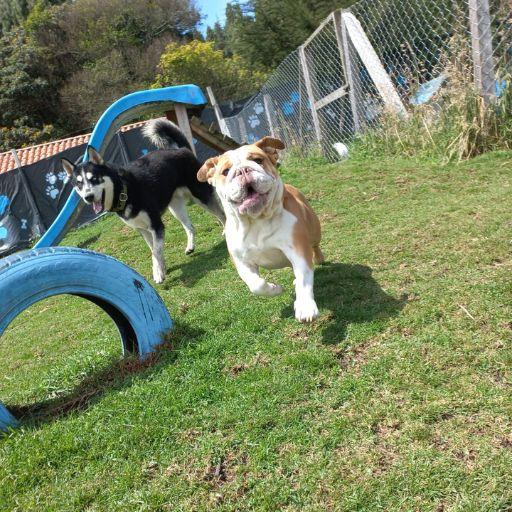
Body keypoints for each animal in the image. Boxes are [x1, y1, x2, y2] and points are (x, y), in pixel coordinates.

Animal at [62, 119, 225, 283]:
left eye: (94, 179)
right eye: (79, 184)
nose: (88, 197)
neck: (124, 191)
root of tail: (182, 150)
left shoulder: (156, 226)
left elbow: (155, 252)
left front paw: (158, 273)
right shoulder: (142, 229)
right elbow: (154, 250)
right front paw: (162, 269)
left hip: (201, 196)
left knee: (222, 215)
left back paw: (225, 231)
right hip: (176, 208)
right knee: (190, 227)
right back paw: (190, 246)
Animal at [197, 137, 324, 322]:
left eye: (258, 160)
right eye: (226, 171)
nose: (243, 170)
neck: (255, 221)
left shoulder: (298, 251)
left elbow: (304, 280)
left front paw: (305, 306)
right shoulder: (241, 261)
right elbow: (256, 284)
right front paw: (274, 288)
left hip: (314, 230)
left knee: (315, 246)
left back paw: (319, 258)